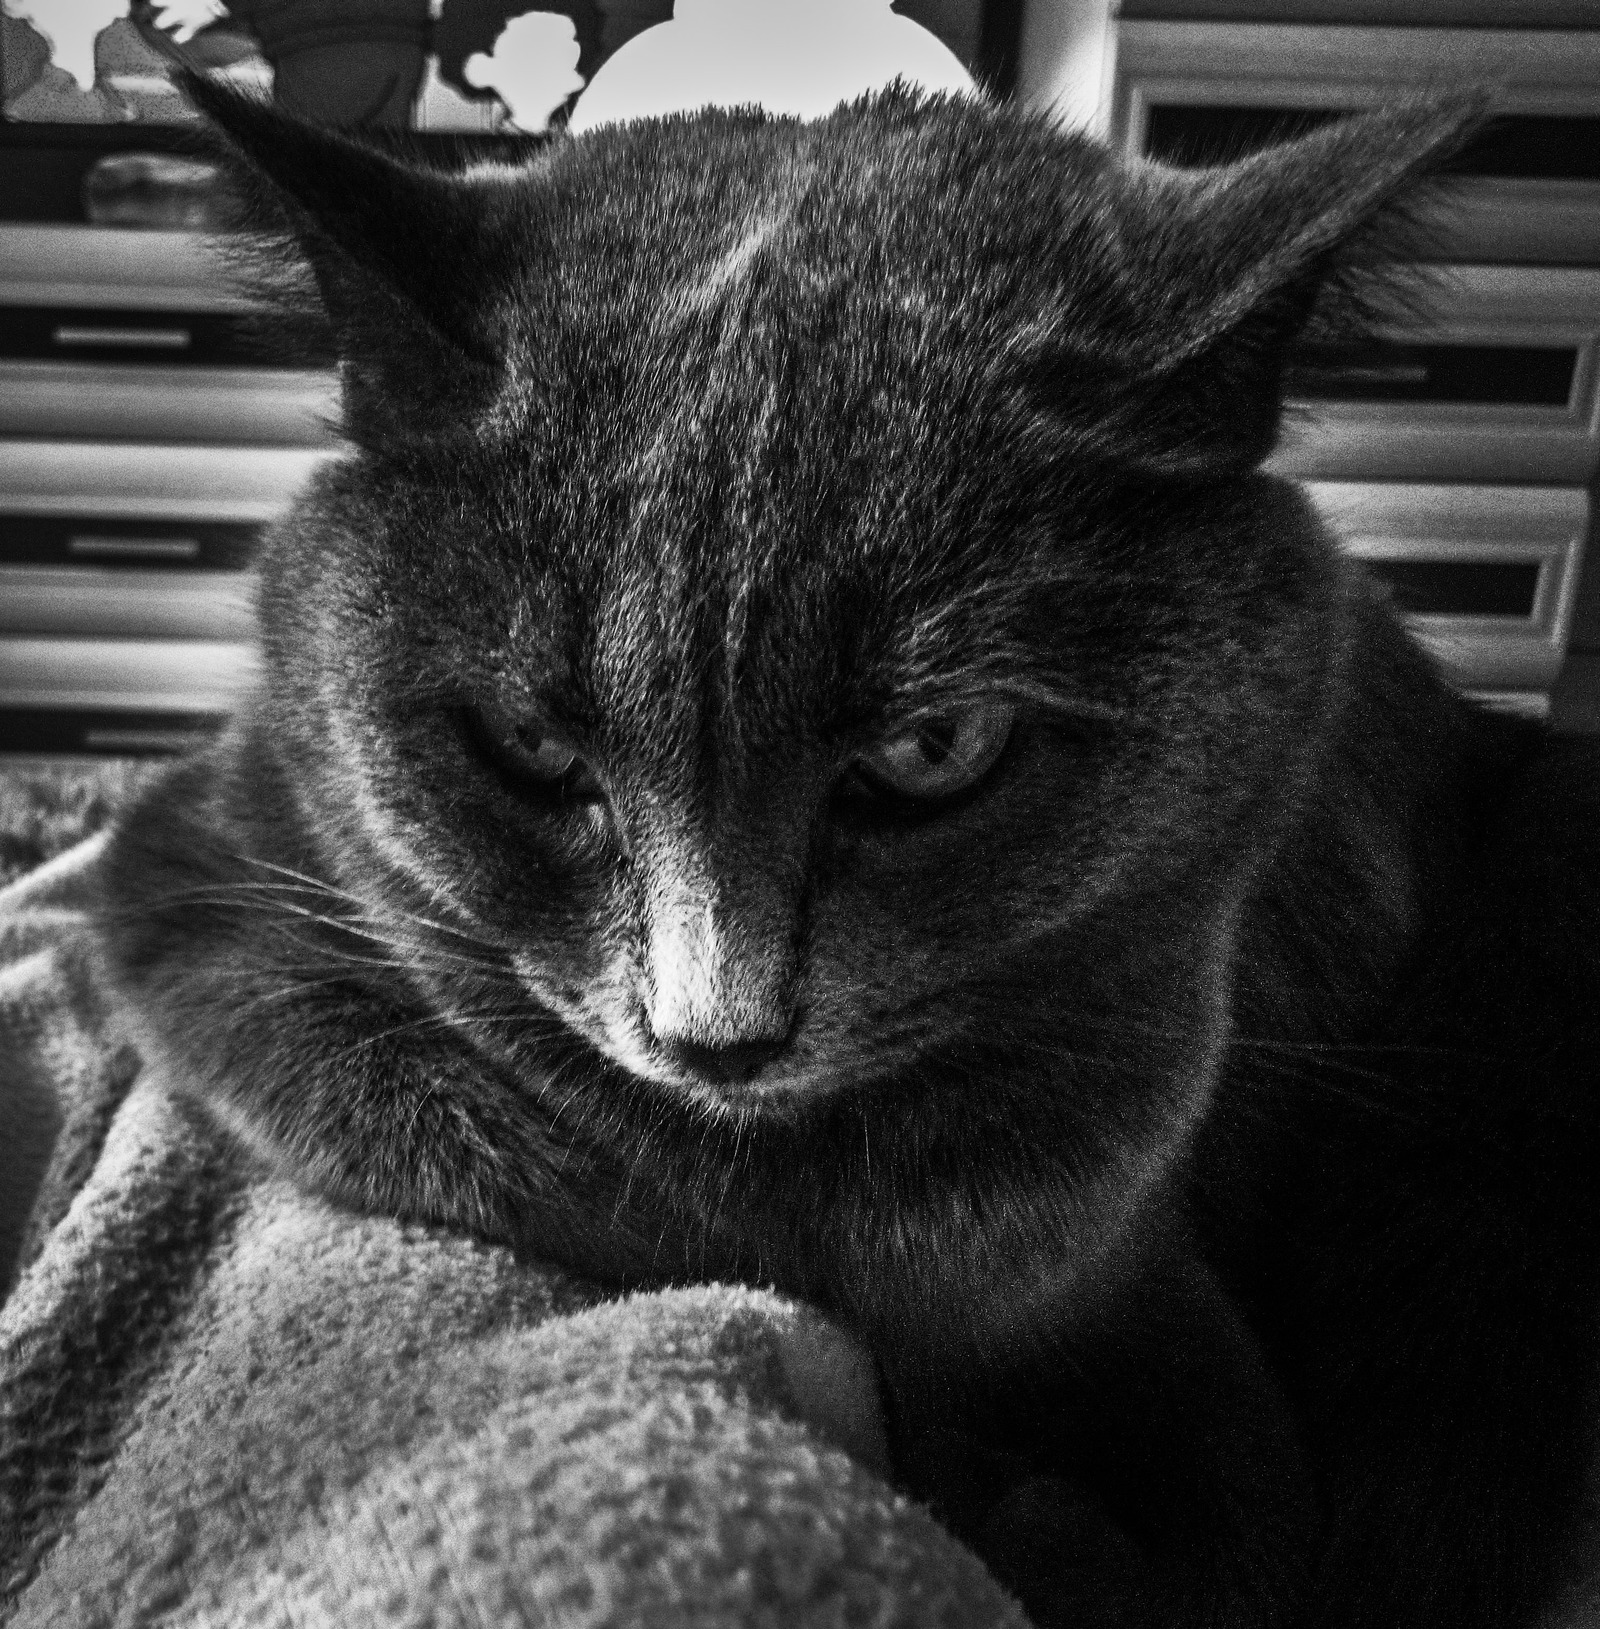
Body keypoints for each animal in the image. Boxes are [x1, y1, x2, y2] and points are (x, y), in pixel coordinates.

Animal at [94, 74, 1600, 1629]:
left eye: (936, 747)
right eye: (528, 746)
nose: (718, 1034)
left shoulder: (1161, 1299)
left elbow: (1233, 1550)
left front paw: (1002, 1485)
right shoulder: (194, 880)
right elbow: (509, 1147)